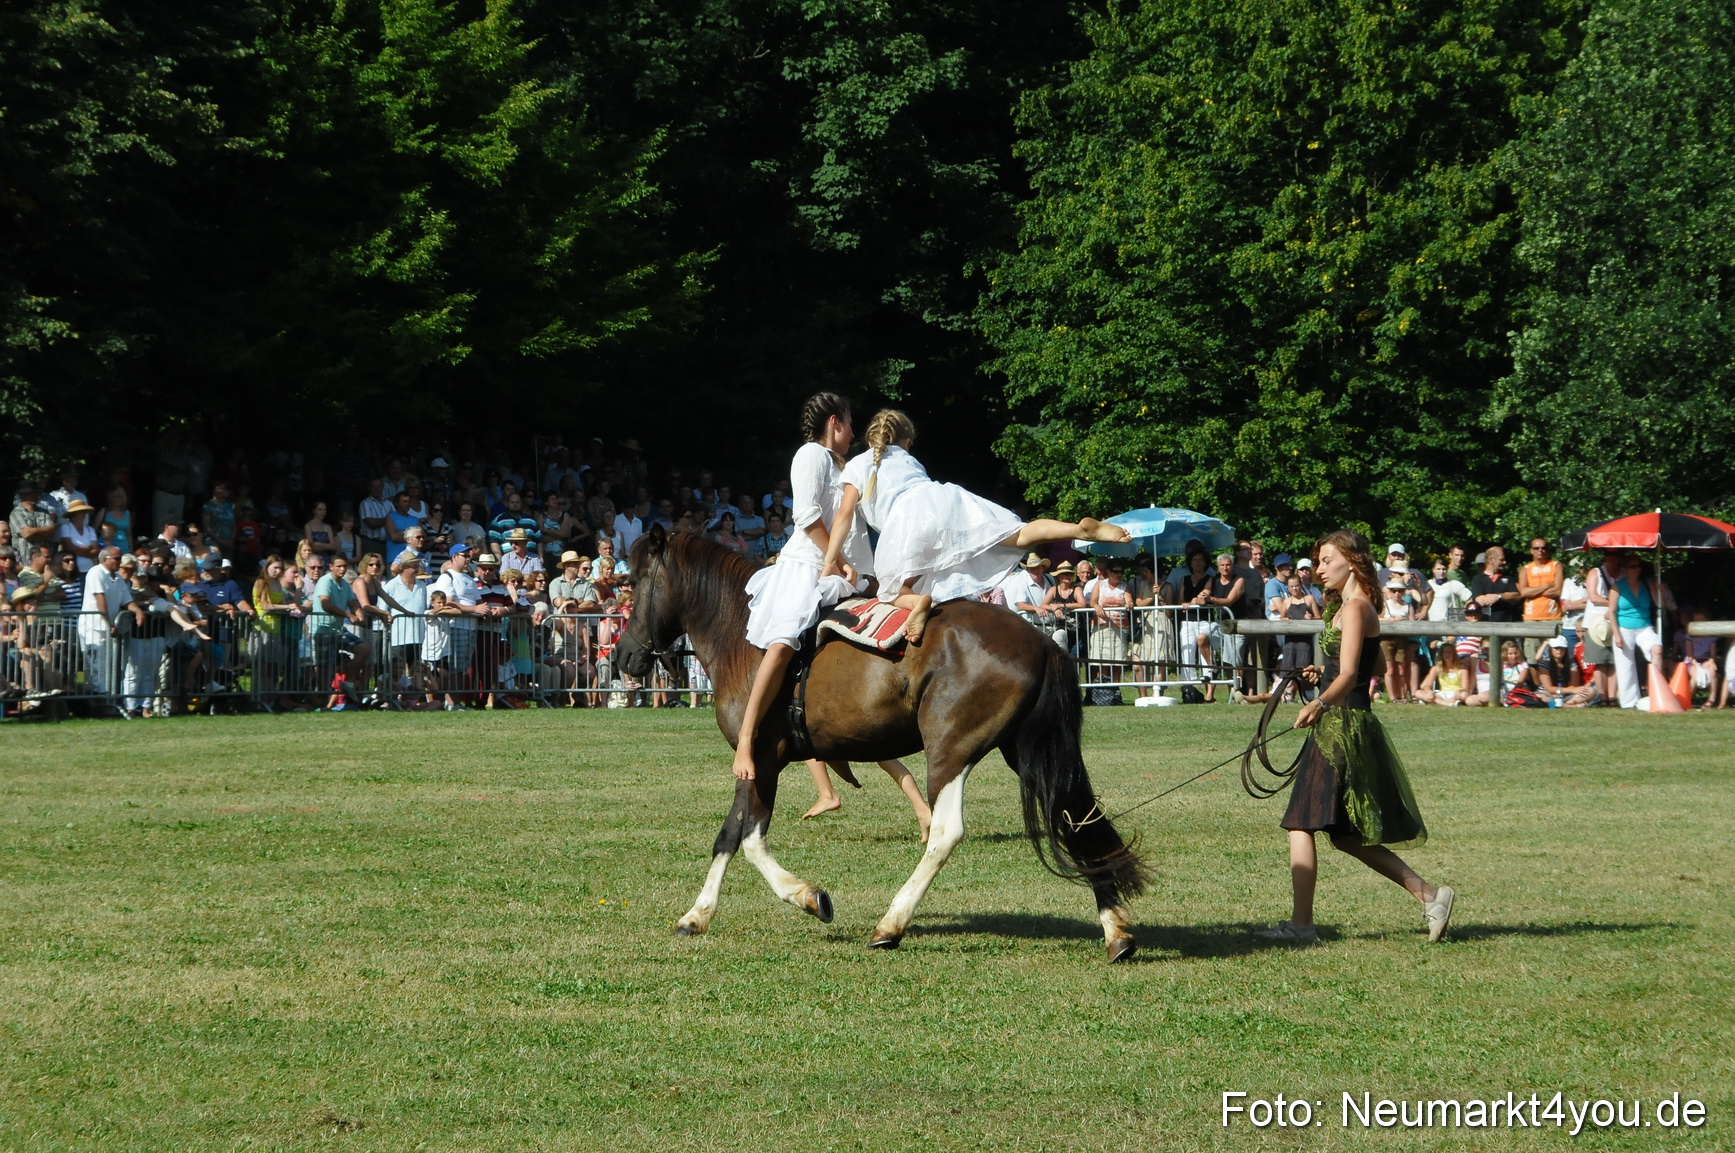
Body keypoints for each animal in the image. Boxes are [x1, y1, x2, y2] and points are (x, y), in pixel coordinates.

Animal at [617, 527, 1149, 962]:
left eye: (638, 581)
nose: (623, 656)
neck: (744, 634)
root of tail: (1041, 641)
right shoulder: (761, 764)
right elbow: (736, 836)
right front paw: (709, 913)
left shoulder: (759, 760)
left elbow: (743, 839)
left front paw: (797, 898)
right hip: (1025, 749)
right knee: (1077, 815)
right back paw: (1116, 932)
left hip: (950, 751)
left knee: (946, 833)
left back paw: (890, 924)